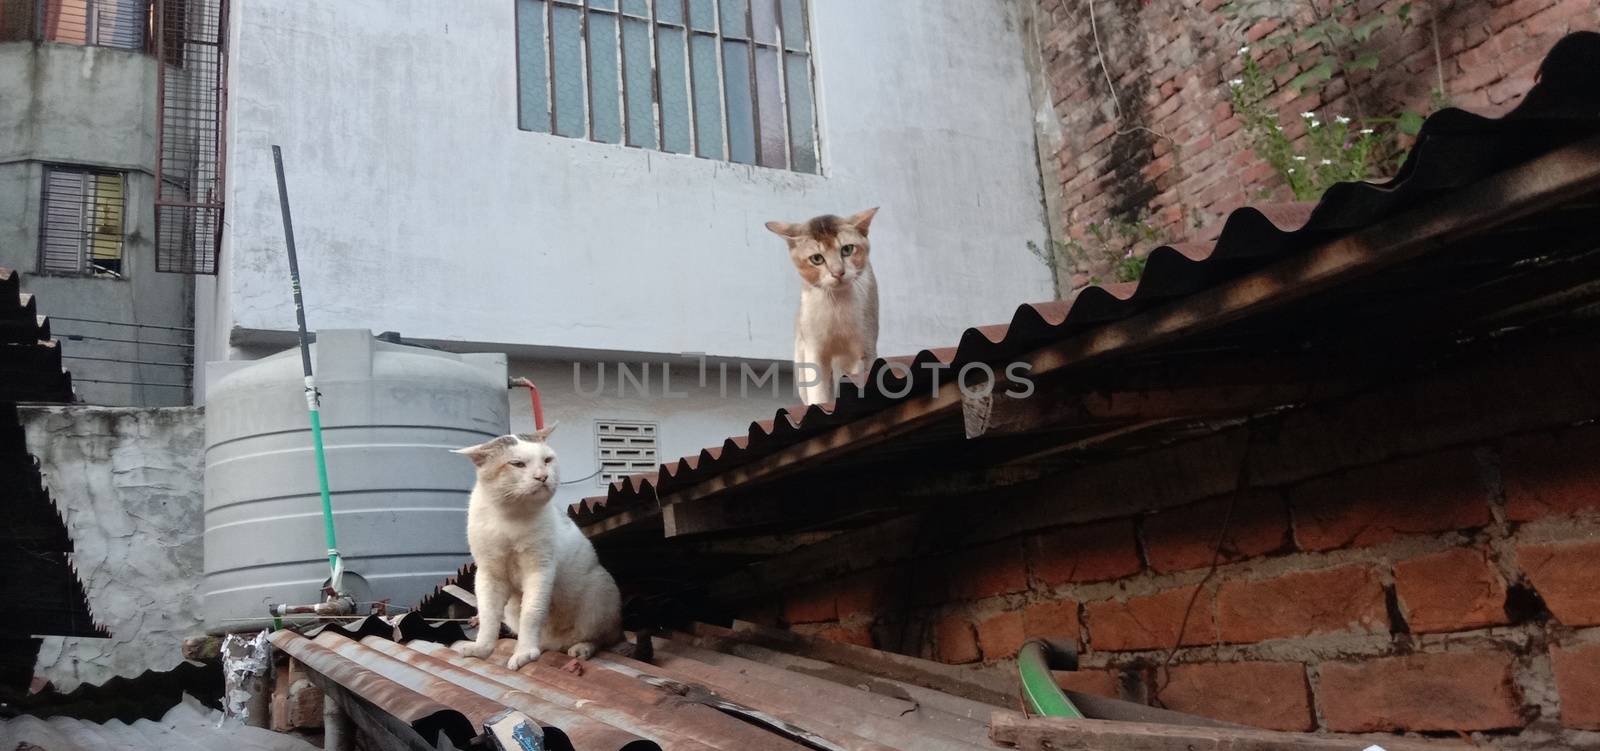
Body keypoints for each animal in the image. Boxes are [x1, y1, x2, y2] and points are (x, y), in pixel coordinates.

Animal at [457, 425, 624, 669]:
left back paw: (580, 648)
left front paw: (525, 652)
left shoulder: (539, 569)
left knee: (602, 638)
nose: (542, 476)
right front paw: (481, 649)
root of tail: (558, 644)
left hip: (599, 591)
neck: (509, 517)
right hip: (511, 610)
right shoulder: (489, 574)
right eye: (517, 464)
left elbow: (532, 612)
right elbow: (488, 616)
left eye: (547, 460)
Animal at [764, 206, 883, 403]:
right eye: (817, 259)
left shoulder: (865, 349)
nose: (838, 272)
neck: (836, 305)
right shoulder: (815, 352)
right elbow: (819, 395)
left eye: (847, 249)